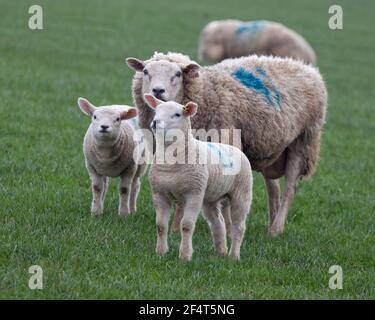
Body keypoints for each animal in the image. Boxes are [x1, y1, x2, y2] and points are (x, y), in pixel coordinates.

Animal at [125, 51, 328, 236]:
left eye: (178, 74)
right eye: (145, 71)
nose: (157, 91)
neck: (205, 93)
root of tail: (306, 67)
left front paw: (227, 228)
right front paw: (175, 228)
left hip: (303, 141)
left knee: (289, 188)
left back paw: (277, 229)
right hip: (271, 149)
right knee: (273, 189)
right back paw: (271, 226)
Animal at [145, 94, 254, 262]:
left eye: (177, 114)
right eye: (156, 111)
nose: (156, 122)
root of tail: (235, 148)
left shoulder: (194, 194)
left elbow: (186, 225)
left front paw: (185, 256)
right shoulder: (159, 194)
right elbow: (161, 226)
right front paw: (161, 252)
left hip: (242, 192)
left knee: (239, 226)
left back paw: (234, 256)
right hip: (210, 198)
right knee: (218, 223)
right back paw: (221, 252)